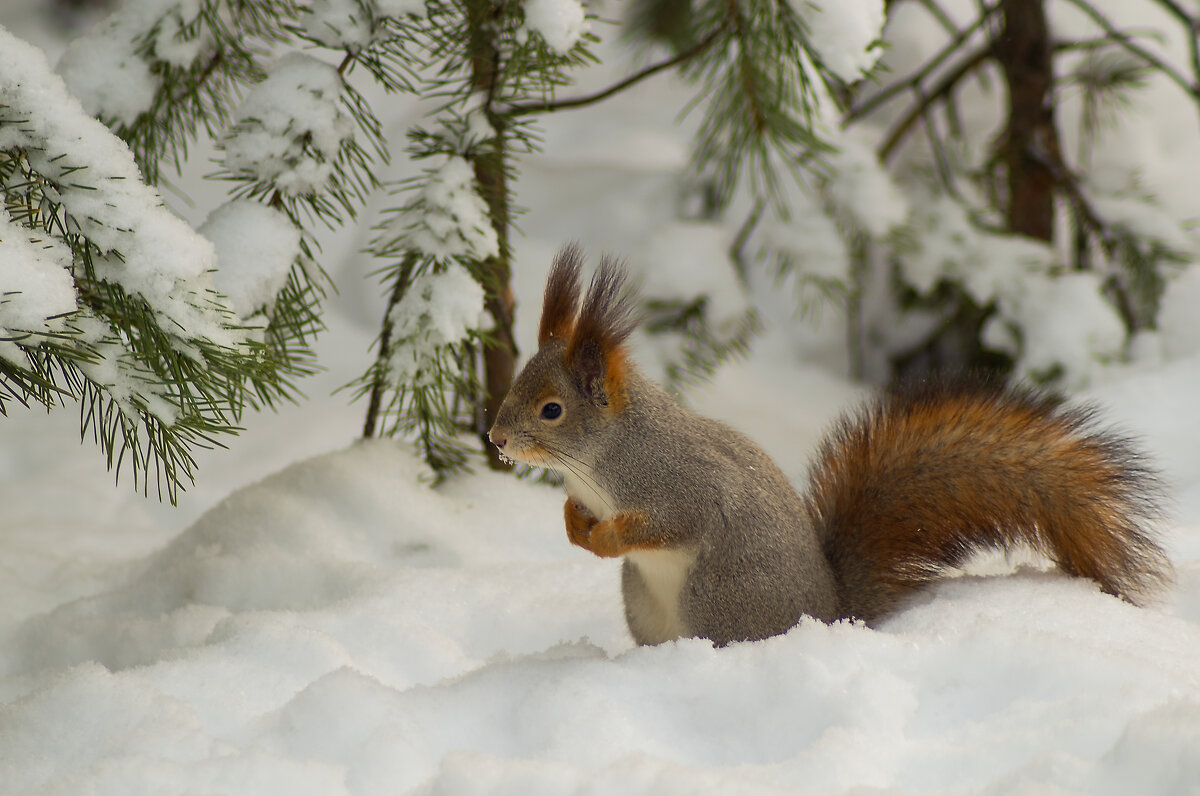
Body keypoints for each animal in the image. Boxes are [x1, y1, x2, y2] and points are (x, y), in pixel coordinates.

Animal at [487, 244, 1171, 648]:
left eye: (551, 410)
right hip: (642, 602)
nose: (495, 438)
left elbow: (673, 520)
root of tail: (830, 611)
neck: (598, 466)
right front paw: (573, 525)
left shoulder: (682, 484)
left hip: (720, 597)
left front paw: (604, 537)